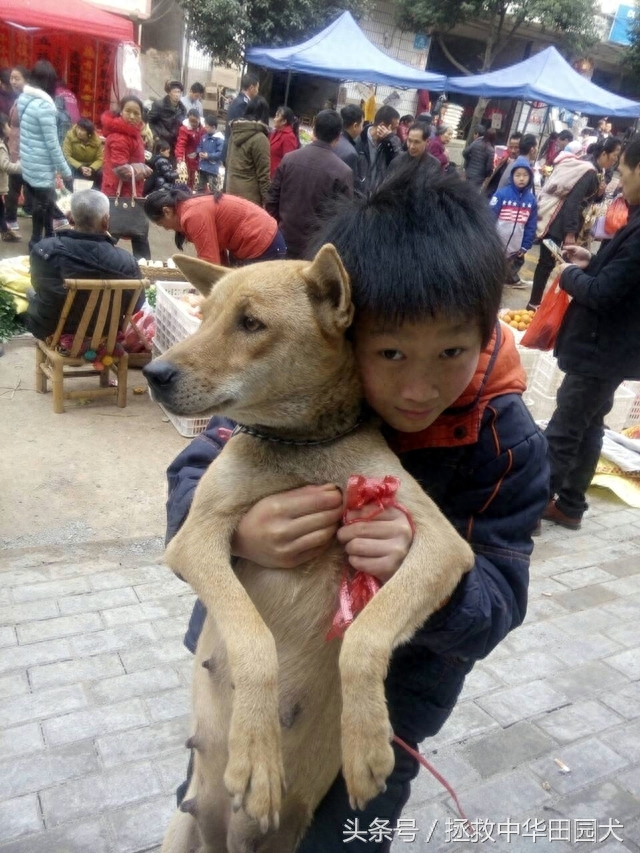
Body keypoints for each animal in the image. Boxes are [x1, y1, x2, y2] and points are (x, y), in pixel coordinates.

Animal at [145, 246, 476, 852]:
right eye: (204, 316)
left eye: (251, 323)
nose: (153, 374)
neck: (300, 447)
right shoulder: (194, 538)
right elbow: (254, 643)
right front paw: (257, 753)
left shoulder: (442, 544)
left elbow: (365, 638)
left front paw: (366, 741)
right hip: (180, 830)